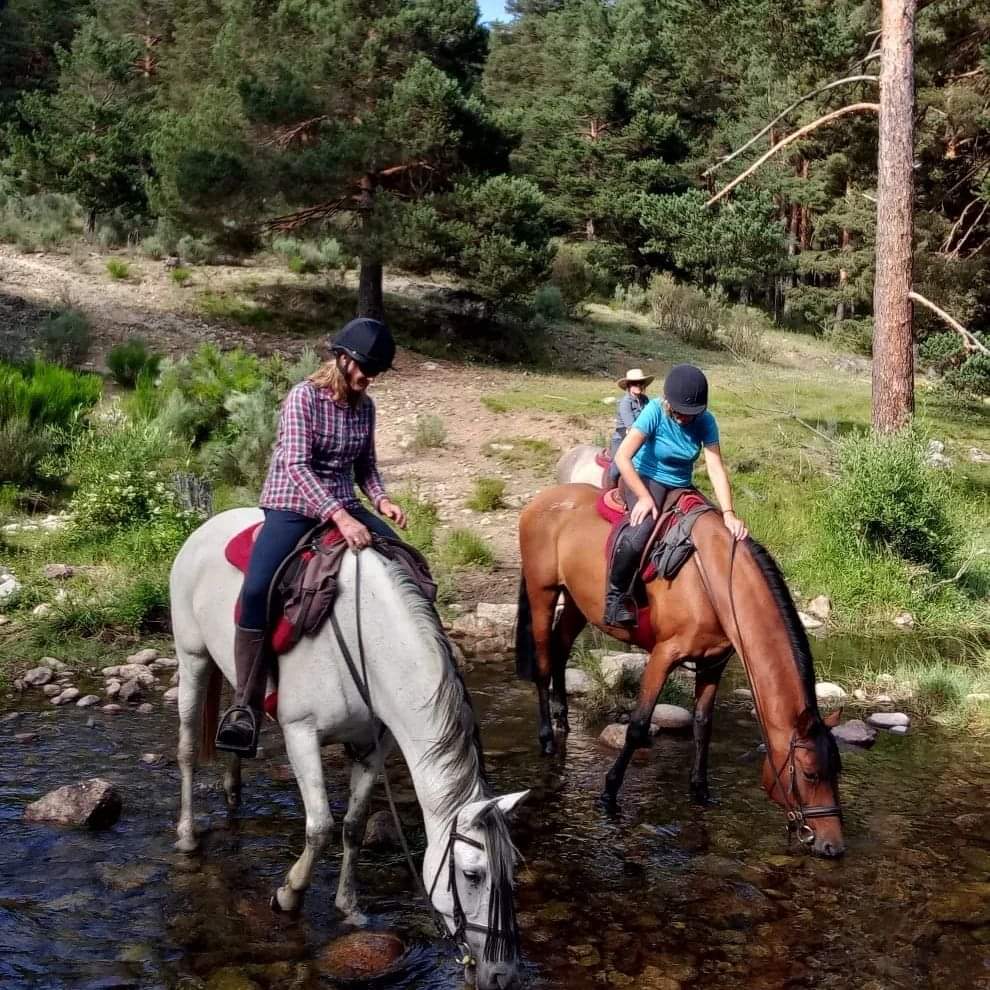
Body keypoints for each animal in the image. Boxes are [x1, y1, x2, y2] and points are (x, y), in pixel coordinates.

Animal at [171, 508, 529, 990]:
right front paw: (288, 894)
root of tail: (208, 525)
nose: (501, 975)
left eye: (512, 870)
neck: (370, 647)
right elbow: (320, 826)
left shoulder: (373, 744)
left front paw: (349, 907)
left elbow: (354, 826)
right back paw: (188, 835)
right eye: (472, 874)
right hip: (192, 657)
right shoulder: (300, 733)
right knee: (188, 748)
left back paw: (233, 789)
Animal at [515, 482, 845, 858]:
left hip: (576, 601)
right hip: (542, 592)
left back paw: (563, 718)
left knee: (560, 649)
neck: (714, 581)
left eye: (837, 770)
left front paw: (700, 792)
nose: (833, 846)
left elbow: (703, 725)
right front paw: (609, 793)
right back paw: (546, 738)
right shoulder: (663, 655)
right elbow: (638, 726)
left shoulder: (713, 663)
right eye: (809, 774)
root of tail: (541, 499)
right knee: (543, 662)